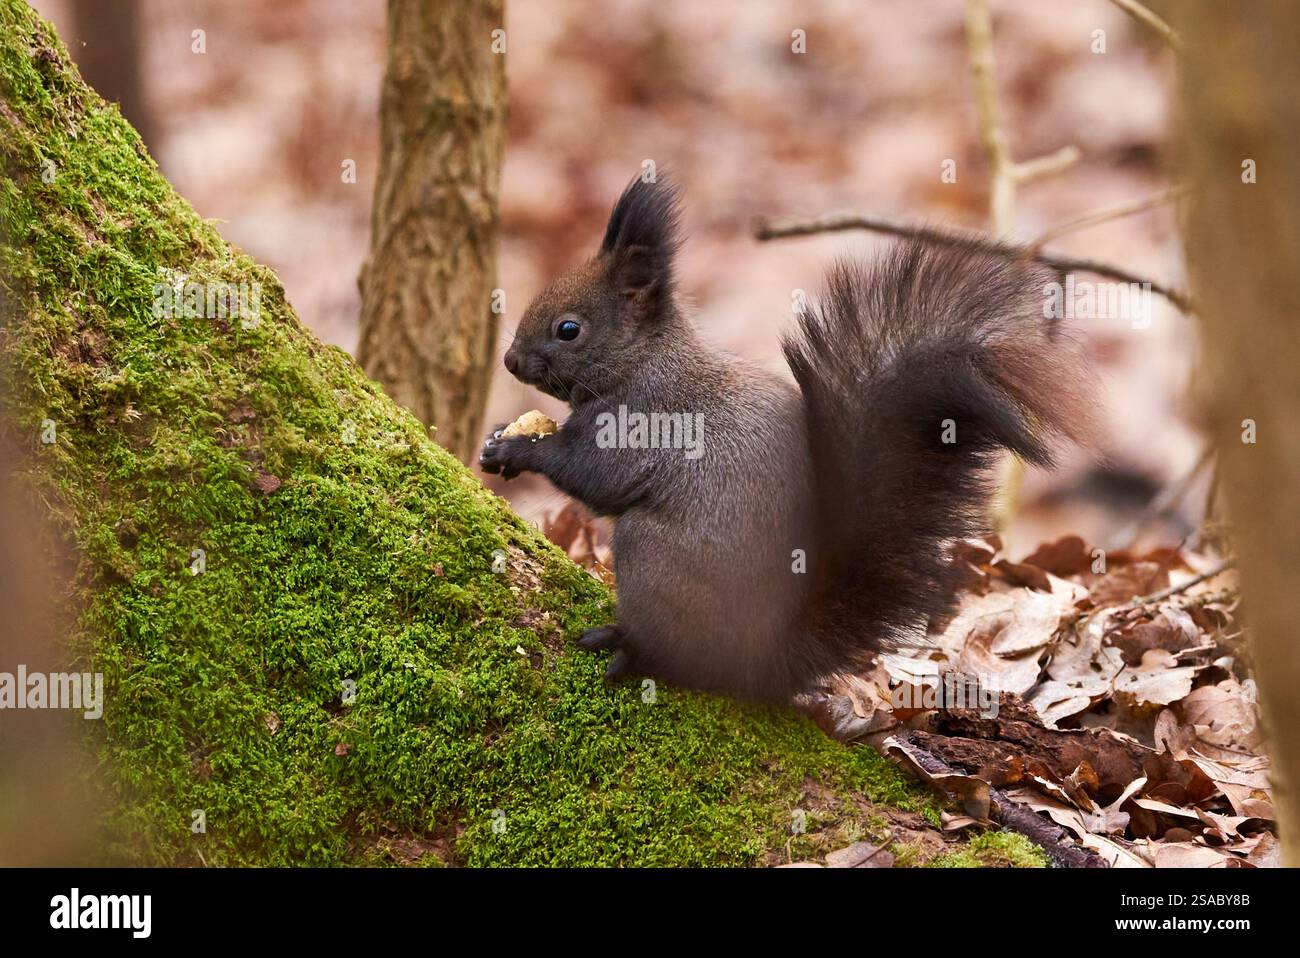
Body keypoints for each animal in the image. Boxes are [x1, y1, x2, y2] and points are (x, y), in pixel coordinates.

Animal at [481, 175, 1095, 702]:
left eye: (569, 329)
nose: (510, 361)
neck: (642, 361)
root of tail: (763, 661)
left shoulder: (639, 420)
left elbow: (592, 476)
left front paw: (517, 449)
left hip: (655, 561)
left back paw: (632, 648)